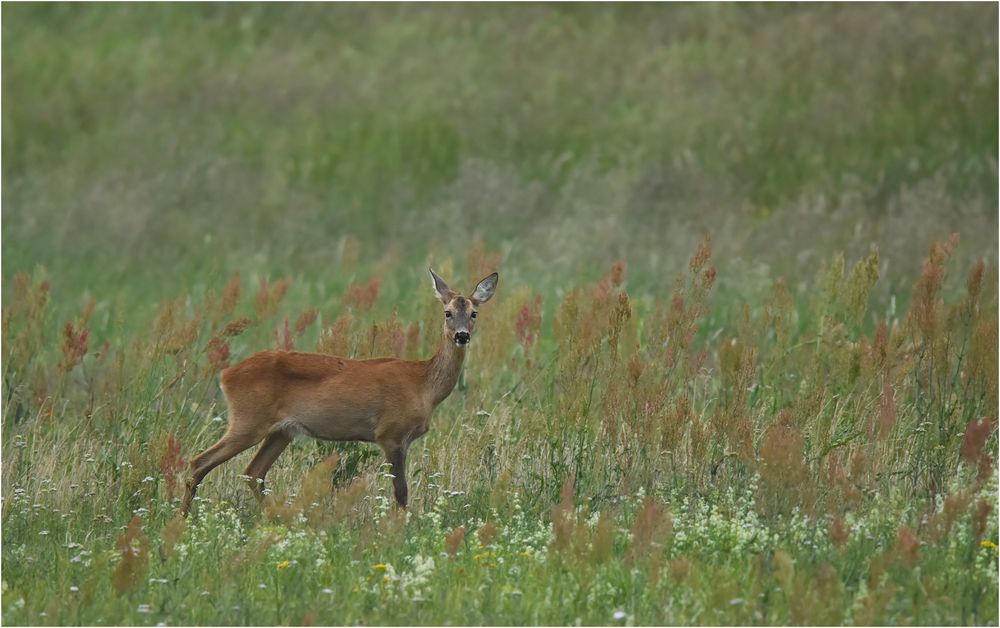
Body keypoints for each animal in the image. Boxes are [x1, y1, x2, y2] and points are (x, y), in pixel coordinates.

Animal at [181, 270, 500, 516]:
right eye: (448, 313)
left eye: (474, 313)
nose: (462, 335)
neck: (423, 385)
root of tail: (226, 375)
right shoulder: (390, 432)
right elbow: (401, 491)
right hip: (248, 419)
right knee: (200, 462)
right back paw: (184, 519)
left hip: (281, 431)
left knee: (253, 472)